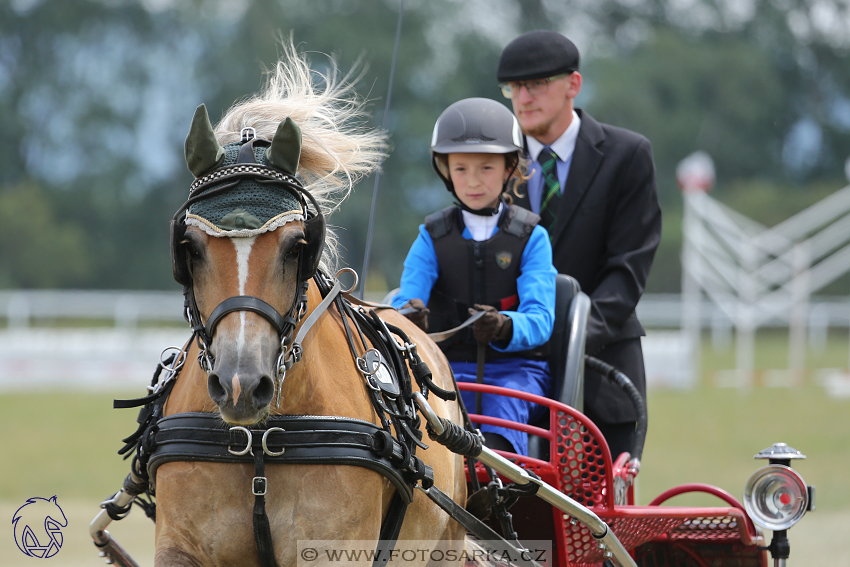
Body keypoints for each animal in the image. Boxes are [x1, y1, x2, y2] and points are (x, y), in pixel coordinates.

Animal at [146, 45, 464, 567]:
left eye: (296, 247)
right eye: (189, 248)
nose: (240, 384)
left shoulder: (333, 549)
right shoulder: (180, 546)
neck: (257, 442)